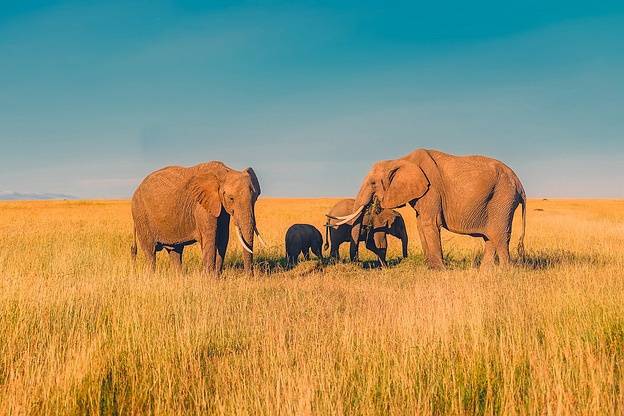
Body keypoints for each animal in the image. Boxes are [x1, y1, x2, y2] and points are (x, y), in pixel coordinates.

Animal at [132, 162, 266, 276]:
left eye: (255, 198)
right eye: (231, 198)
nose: (250, 277)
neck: (224, 172)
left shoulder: (220, 207)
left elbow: (223, 238)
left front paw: (216, 277)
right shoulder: (202, 206)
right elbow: (210, 238)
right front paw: (209, 279)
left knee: (175, 251)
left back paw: (179, 277)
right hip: (141, 215)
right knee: (150, 252)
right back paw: (151, 276)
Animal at [334, 150, 524, 270]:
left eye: (373, 183)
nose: (356, 262)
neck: (401, 159)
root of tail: (519, 184)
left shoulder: (432, 189)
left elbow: (429, 223)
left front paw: (439, 269)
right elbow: (420, 224)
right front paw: (430, 266)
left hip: (503, 198)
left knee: (500, 235)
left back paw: (505, 272)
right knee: (490, 237)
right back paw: (485, 272)